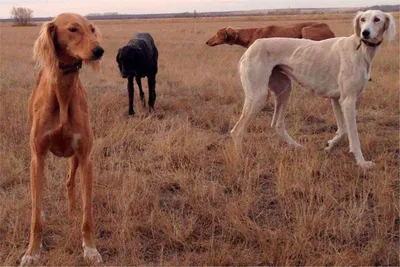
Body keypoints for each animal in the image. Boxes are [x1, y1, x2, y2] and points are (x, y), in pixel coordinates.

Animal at [21, 13, 104, 266]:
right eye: (73, 29)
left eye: (92, 29)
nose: (99, 50)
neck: (64, 93)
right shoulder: (37, 156)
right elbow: (35, 215)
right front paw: (32, 252)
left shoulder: (86, 157)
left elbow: (88, 214)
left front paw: (90, 249)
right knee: (38, 193)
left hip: (74, 157)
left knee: (69, 181)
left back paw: (71, 213)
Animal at [231, 11, 396, 170]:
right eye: (362, 19)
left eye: (377, 19)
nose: (365, 33)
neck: (360, 49)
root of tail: (252, 47)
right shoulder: (348, 101)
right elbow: (353, 136)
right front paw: (362, 163)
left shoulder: (337, 100)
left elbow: (342, 130)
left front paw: (330, 145)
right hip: (258, 97)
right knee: (237, 131)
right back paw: (240, 159)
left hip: (284, 90)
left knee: (277, 124)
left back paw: (296, 146)